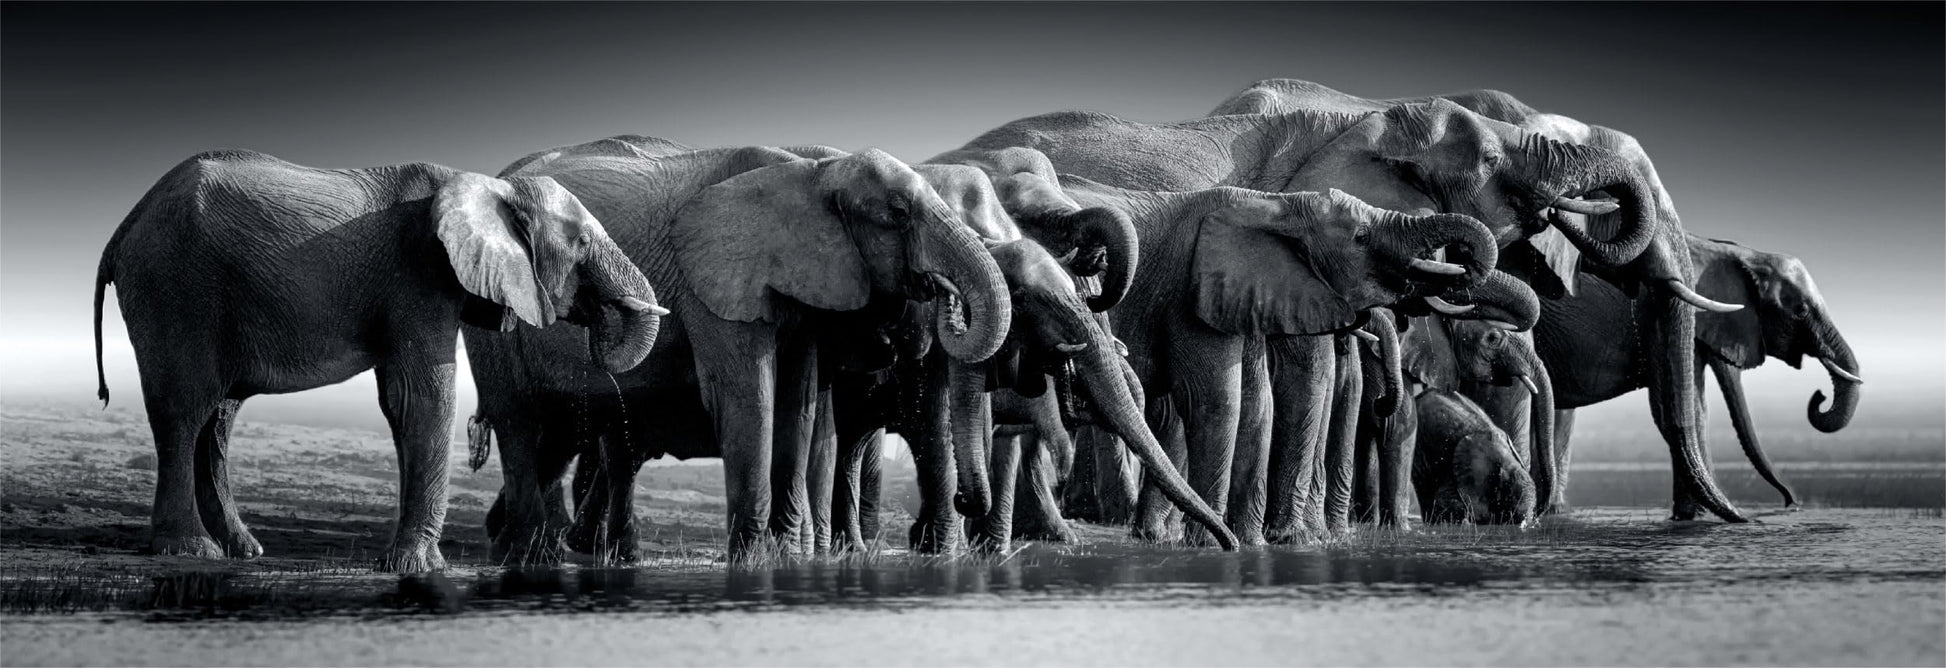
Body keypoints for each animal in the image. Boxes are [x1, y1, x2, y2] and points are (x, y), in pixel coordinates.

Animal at [92, 149, 664, 571]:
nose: (601, 323)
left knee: (218, 420)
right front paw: (420, 568)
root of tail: (124, 227)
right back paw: (193, 551)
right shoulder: (421, 275)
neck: (486, 185)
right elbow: (426, 397)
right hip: (174, 288)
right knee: (185, 409)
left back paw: (243, 550)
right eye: (583, 242)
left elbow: (399, 404)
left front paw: (402, 564)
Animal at [465, 141, 1013, 562]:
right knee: (519, 421)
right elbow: (749, 399)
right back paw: (530, 555)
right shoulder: (714, 285)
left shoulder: (805, 294)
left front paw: (789, 556)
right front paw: (751, 562)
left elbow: (800, 405)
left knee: (567, 437)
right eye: (897, 216)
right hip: (496, 302)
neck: (812, 172)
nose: (944, 296)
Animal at [1543, 233, 1861, 510]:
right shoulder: (1664, 323)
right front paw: (1696, 517)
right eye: (1799, 310)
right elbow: (1684, 409)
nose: (1790, 502)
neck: (1741, 254)